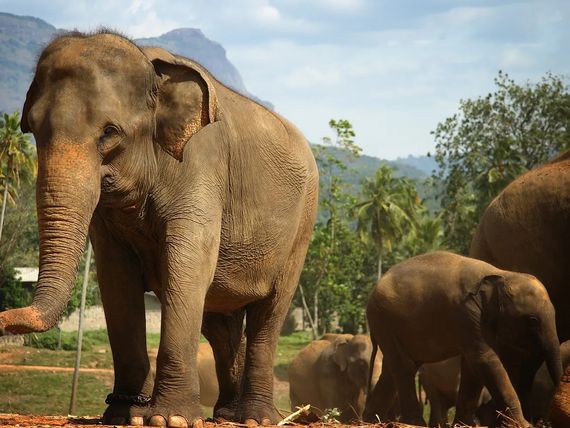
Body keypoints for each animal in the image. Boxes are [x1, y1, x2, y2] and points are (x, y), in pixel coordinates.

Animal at [0, 30, 318, 428]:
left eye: (109, 132)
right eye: (31, 129)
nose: (5, 319)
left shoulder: (201, 164)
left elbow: (188, 265)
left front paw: (172, 419)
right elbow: (116, 279)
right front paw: (126, 415)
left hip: (302, 224)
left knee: (269, 313)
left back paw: (256, 418)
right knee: (221, 324)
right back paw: (226, 414)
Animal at [362, 251, 560, 428]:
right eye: (532, 321)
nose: (544, 422)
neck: (502, 273)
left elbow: (472, 365)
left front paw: (465, 424)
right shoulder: (466, 312)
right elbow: (484, 359)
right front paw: (524, 425)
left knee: (392, 370)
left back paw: (369, 421)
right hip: (384, 320)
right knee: (404, 366)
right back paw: (413, 423)